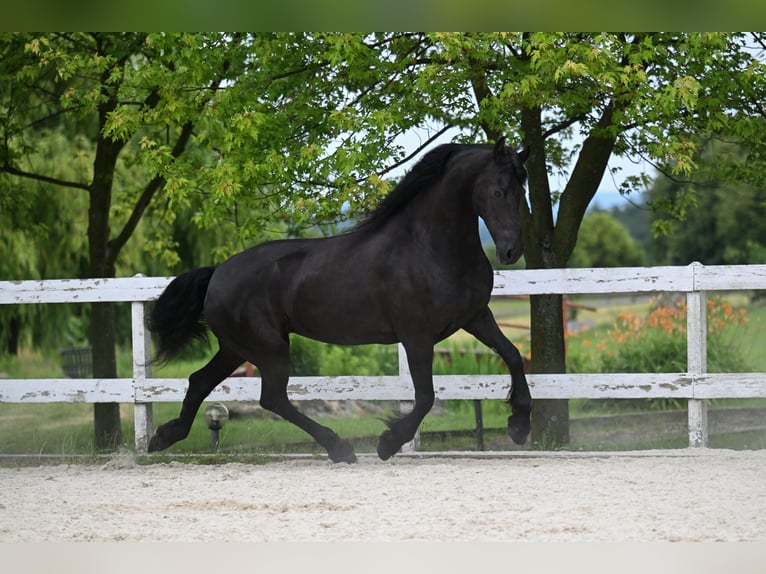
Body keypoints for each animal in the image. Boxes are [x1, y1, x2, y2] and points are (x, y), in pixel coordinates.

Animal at [148, 138, 536, 464]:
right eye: (498, 190)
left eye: (522, 191)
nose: (511, 252)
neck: (430, 247)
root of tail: (218, 273)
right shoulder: (416, 335)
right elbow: (425, 396)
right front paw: (388, 443)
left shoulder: (475, 317)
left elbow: (513, 356)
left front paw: (519, 425)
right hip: (268, 347)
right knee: (271, 398)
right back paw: (339, 448)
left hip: (237, 347)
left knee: (201, 381)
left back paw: (163, 437)